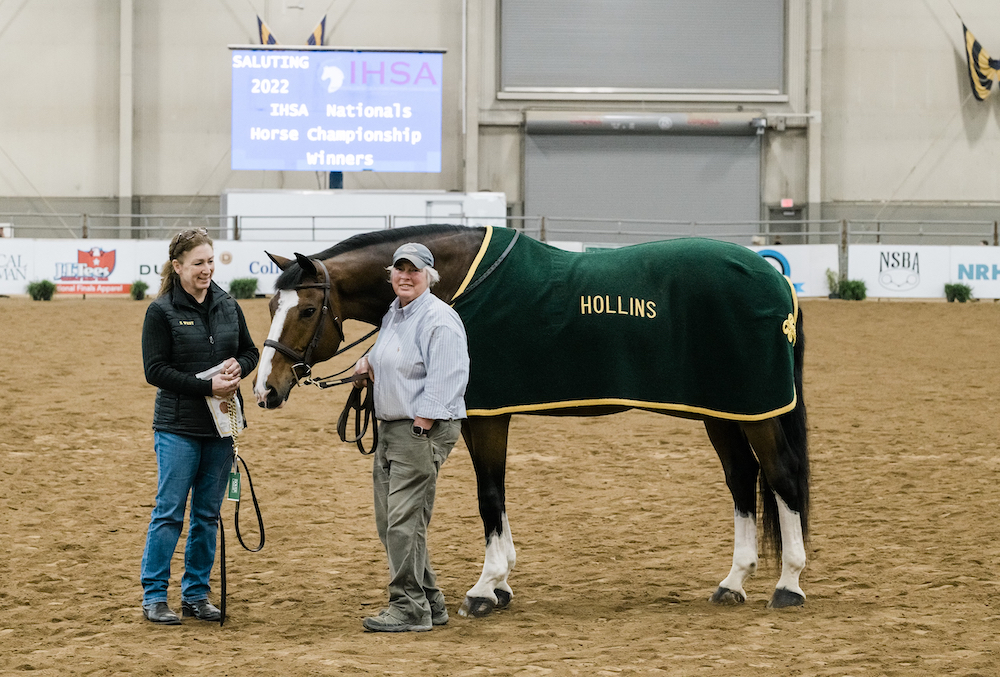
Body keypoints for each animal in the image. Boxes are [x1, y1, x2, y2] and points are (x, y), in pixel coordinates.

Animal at [254, 224, 808, 616]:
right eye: (271, 303)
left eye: (307, 310)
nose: (265, 390)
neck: (459, 286)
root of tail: (775, 278)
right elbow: (494, 494)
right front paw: (501, 585)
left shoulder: (485, 417)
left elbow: (489, 495)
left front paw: (485, 588)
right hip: (725, 412)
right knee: (742, 477)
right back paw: (733, 582)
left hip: (756, 412)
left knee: (780, 476)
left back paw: (788, 584)